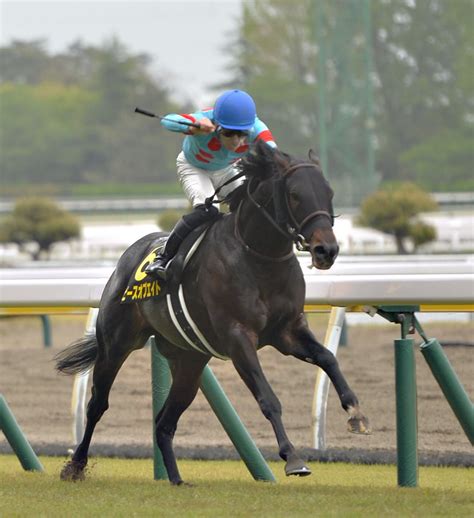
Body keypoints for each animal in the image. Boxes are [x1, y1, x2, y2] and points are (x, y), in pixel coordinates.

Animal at [53, 140, 368, 486]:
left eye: (329, 192)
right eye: (295, 194)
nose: (327, 250)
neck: (259, 258)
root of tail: (129, 255)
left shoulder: (287, 331)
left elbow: (327, 357)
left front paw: (355, 412)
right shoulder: (238, 337)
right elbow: (268, 398)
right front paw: (293, 457)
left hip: (189, 361)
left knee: (164, 422)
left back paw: (176, 479)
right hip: (116, 344)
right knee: (97, 404)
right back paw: (76, 465)